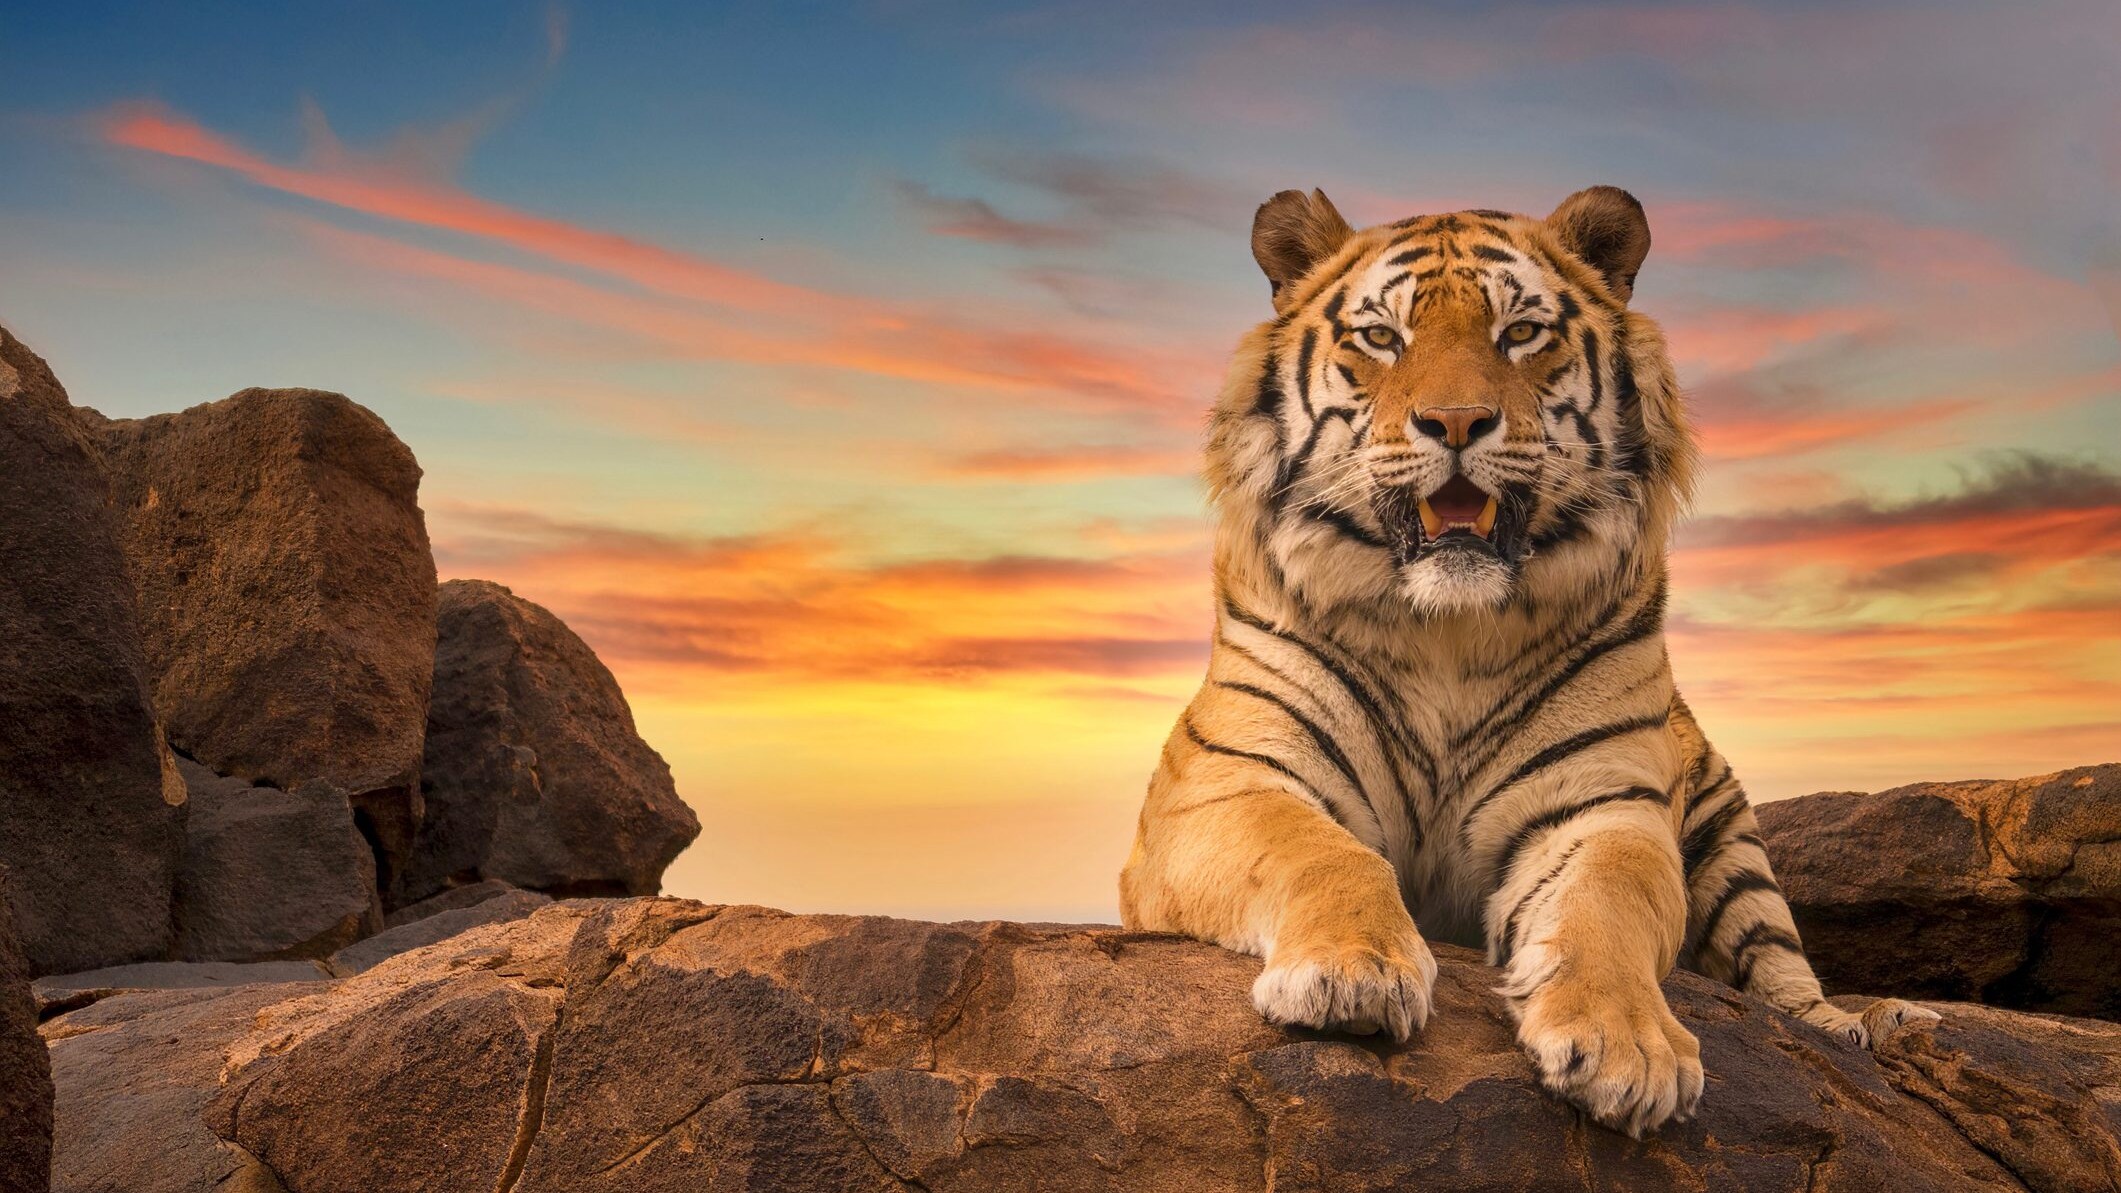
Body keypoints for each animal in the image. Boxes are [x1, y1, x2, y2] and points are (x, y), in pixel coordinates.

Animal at [1117, 185, 1937, 1137]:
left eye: (1519, 332)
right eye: (1381, 336)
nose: (1456, 422)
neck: (1444, 632)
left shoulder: (1604, 807)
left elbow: (1606, 905)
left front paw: (1626, 1048)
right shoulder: (1226, 783)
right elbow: (1324, 853)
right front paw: (1351, 973)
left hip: (1734, 847)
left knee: (1785, 978)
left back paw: (1873, 1023)